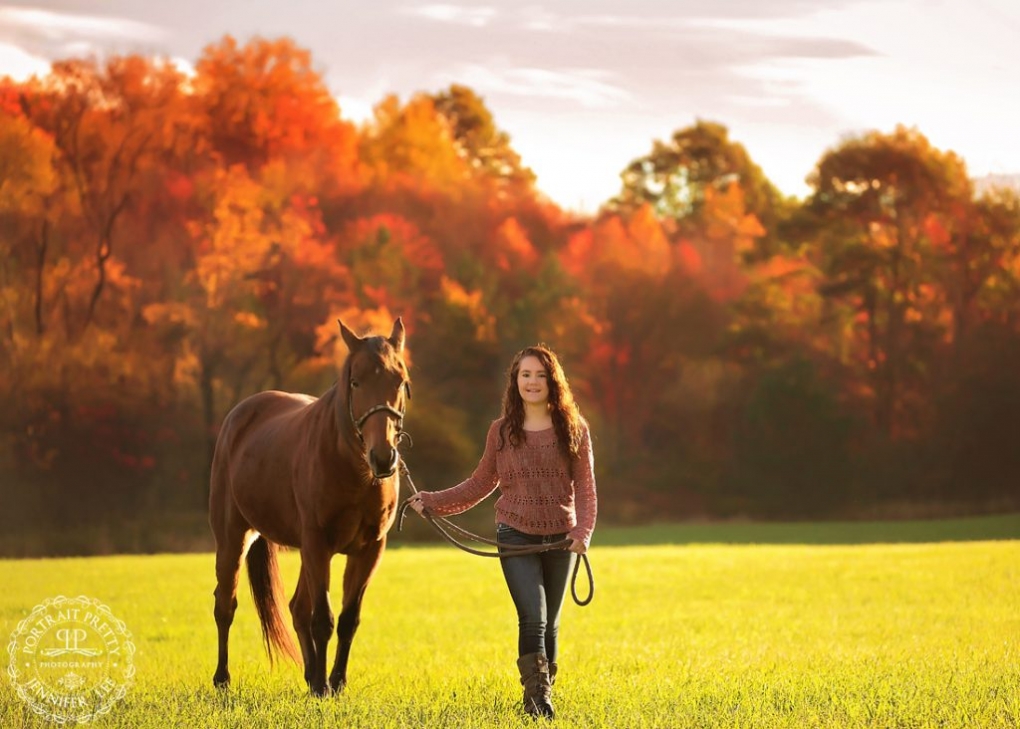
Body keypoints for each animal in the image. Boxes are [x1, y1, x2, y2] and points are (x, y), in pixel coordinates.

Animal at [207, 318, 410, 697]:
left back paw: (311, 674)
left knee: (297, 608)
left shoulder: (368, 549)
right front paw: (322, 685)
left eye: (400, 380)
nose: (383, 457)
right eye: (356, 381)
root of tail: (240, 415)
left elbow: (347, 619)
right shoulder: (318, 544)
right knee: (225, 605)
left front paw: (335, 681)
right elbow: (323, 619)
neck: (354, 470)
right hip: (233, 539)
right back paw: (223, 678)